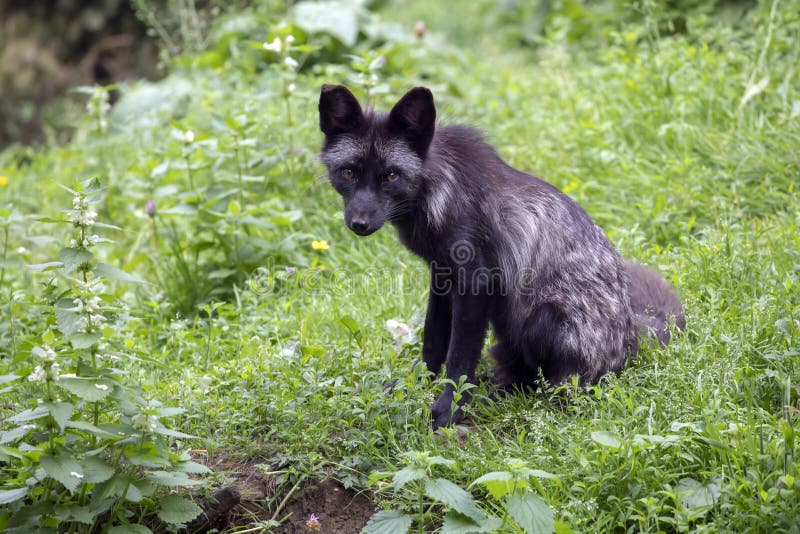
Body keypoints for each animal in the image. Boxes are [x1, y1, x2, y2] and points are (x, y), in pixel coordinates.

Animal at [318, 84, 685, 430]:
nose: (359, 223)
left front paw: (448, 410)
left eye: (391, 176)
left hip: (544, 321)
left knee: (554, 389)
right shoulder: (442, 276)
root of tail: (630, 340)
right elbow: (433, 341)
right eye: (349, 173)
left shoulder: (475, 282)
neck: (438, 189)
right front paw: (417, 385)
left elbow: (459, 357)